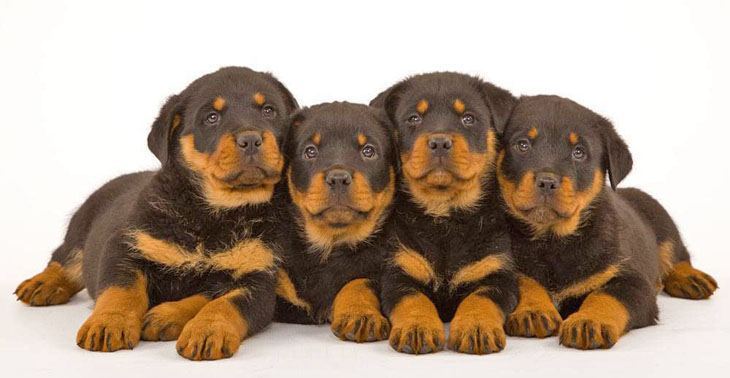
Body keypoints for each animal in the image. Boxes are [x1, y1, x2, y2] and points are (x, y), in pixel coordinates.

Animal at [14, 66, 298, 358]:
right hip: (79, 228)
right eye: (211, 117)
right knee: (66, 259)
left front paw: (198, 327)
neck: (213, 214)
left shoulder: (259, 280)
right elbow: (122, 290)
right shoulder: (124, 246)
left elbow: (221, 302)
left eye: (268, 110)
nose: (250, 139)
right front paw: (109, 322)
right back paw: (42, 283)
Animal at [274, 102, 398, 342]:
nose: (338, 178)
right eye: (310, 151)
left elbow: (358, 281)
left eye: (368, 151)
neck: (331, 244)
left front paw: (360, 314)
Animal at [372, 73, 520, 354]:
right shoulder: (398, 271)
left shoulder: (497, 273)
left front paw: (476, 327)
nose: (439, 142)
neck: (445, 217)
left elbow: (480, 299)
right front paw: (417, 327)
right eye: (413, 118)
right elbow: (413, 299)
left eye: (468, 119)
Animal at [498, 96, 712, 350]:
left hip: (662, 220)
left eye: (579, 152)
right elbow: (526, 281)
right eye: (522, 145)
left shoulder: (632, 281)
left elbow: (606, 296)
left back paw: (691, 278)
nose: (547, 182)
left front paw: (589, 321)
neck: (552, 239)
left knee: (678, 254)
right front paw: (532, 309)